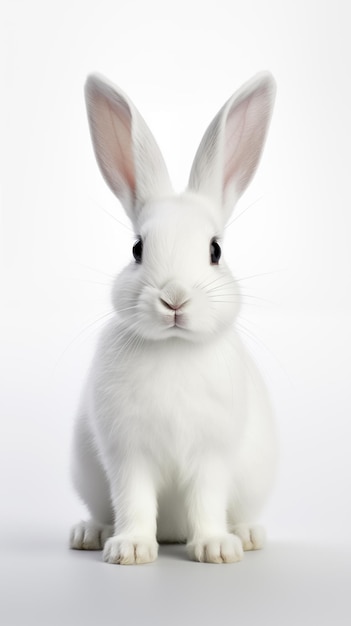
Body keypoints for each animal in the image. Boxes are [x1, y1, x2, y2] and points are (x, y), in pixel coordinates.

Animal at [71, 70, 278, 564]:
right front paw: (129, 550)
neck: (174, 349)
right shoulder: (127, 454)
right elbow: (133, 500)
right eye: (137, 249)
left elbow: (207, 501)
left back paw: (246, 535)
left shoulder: (211, 455)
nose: (174, 298)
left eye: (215, 250)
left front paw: (216, 549)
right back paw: (90, 533)